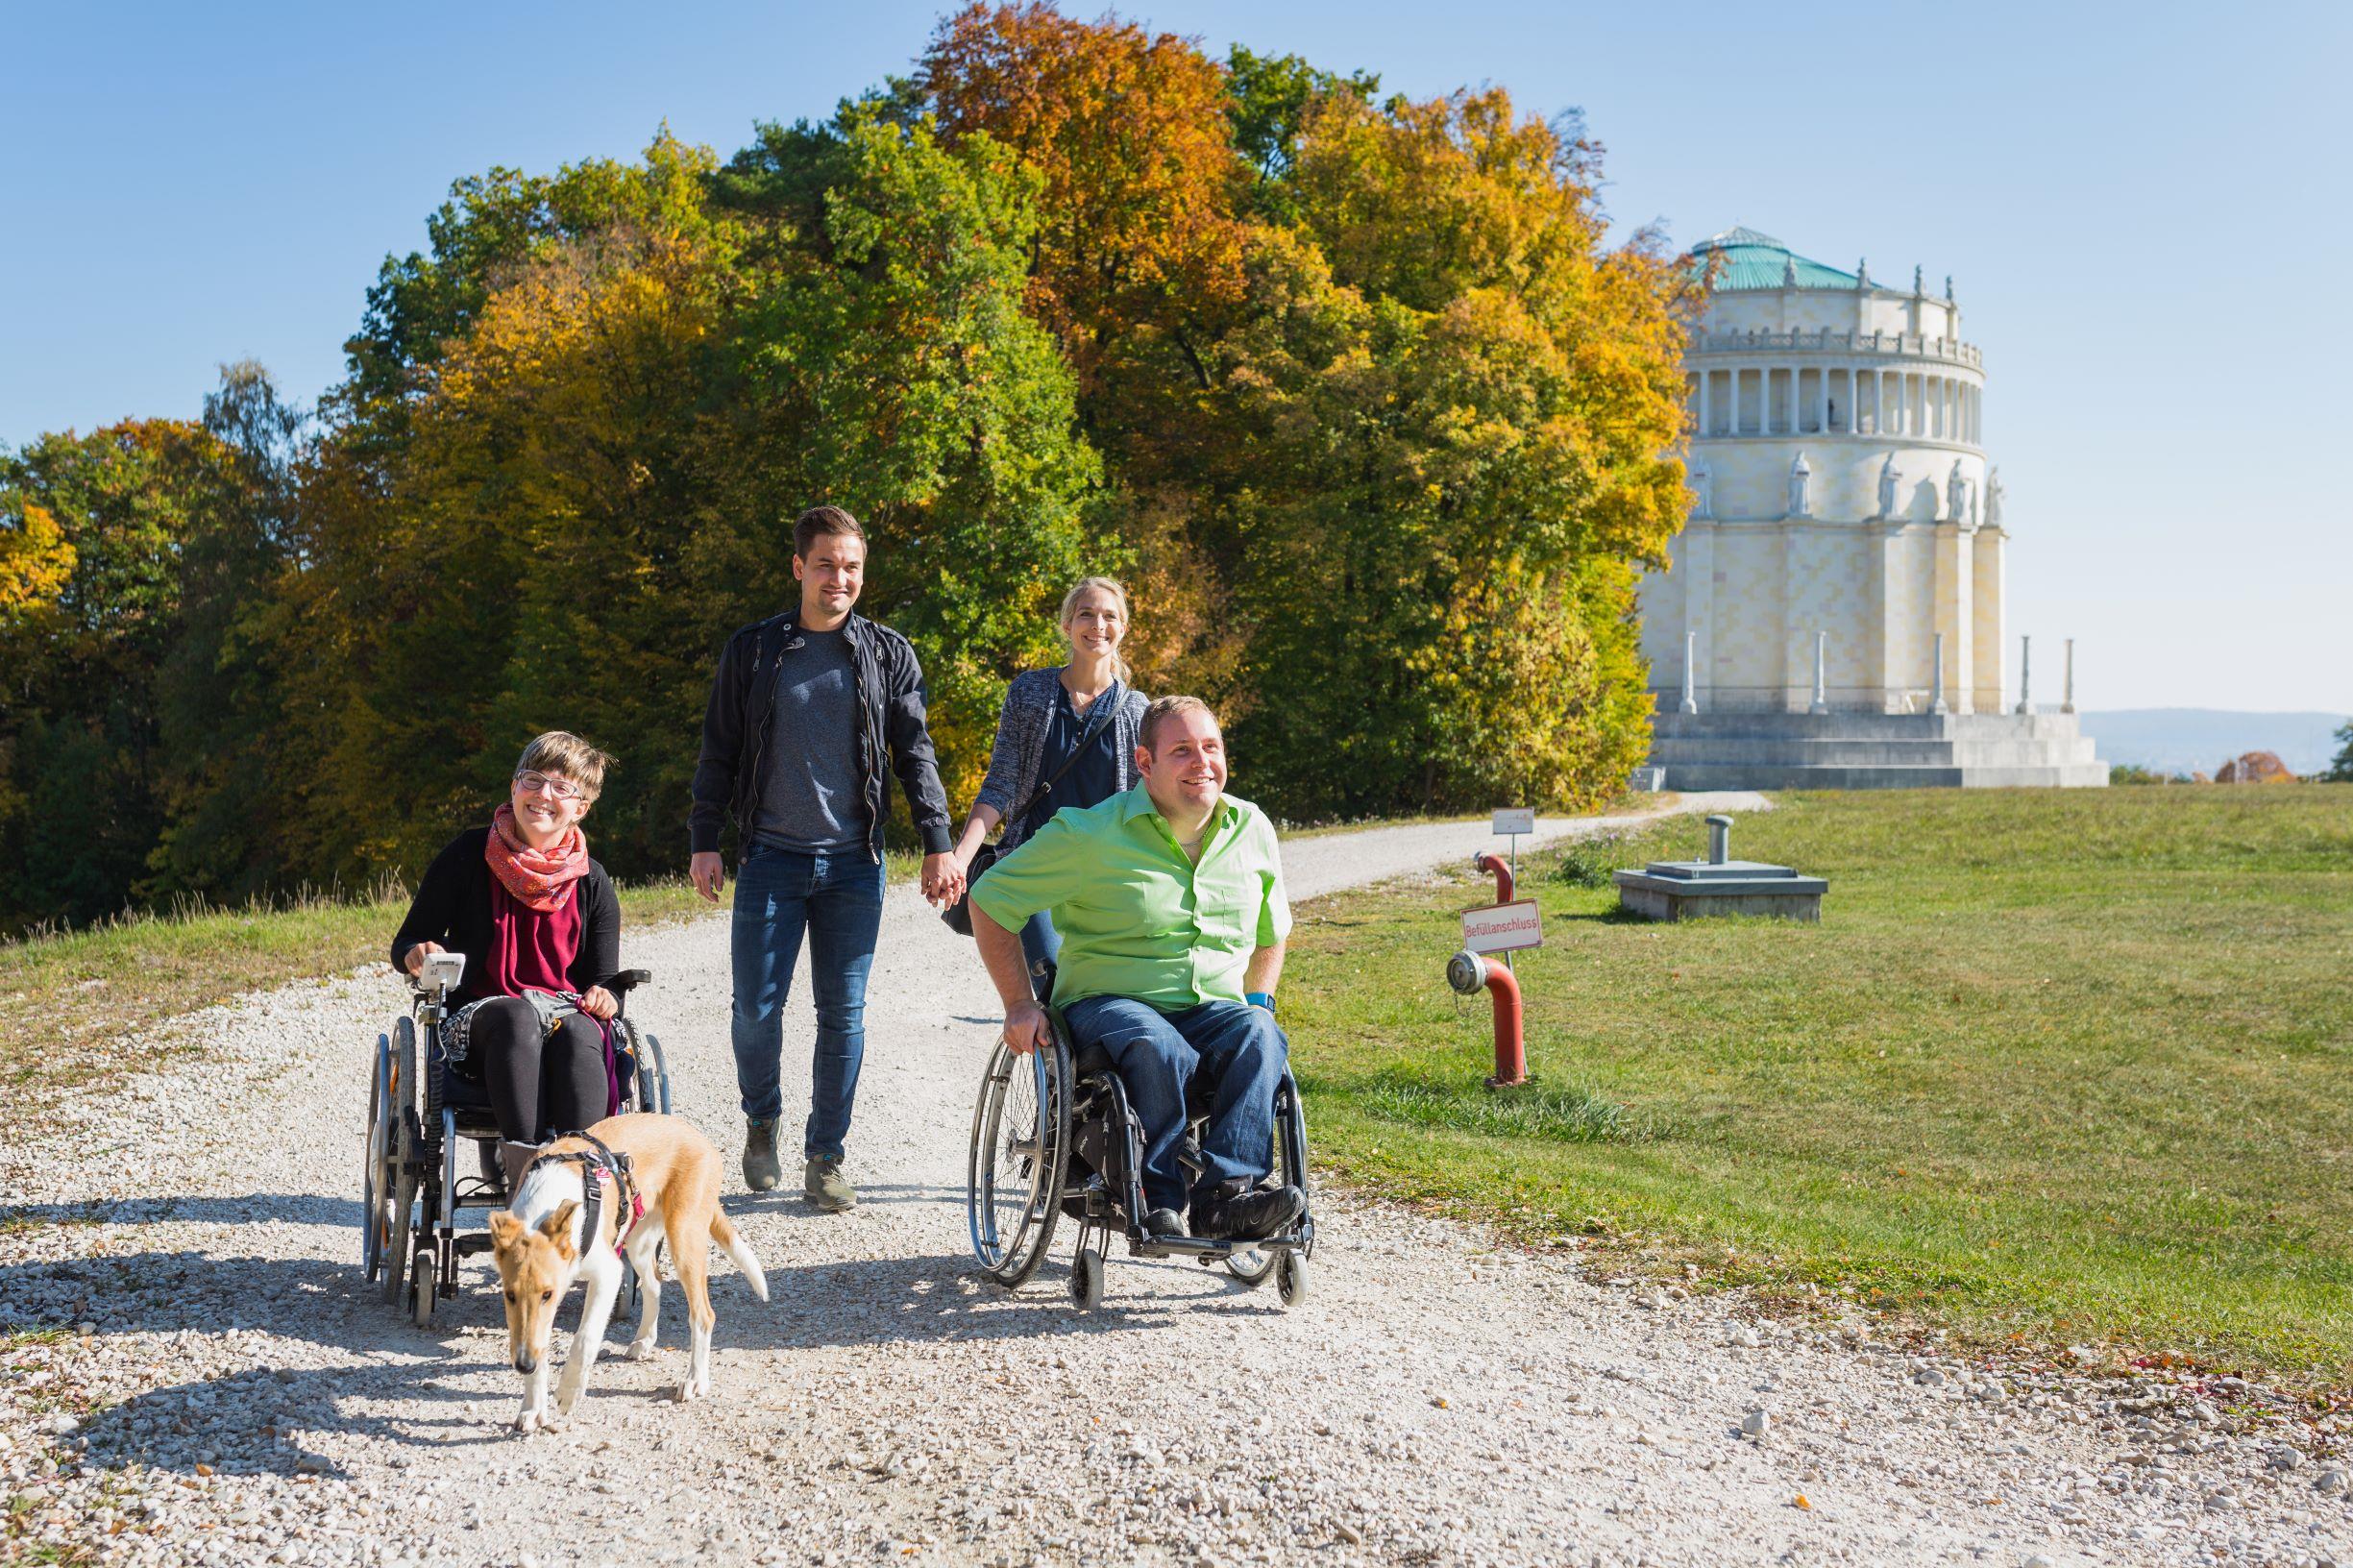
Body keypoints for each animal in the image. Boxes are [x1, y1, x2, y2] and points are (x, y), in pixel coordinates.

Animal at [486, 1106, 762, 1422]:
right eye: (509, 1295)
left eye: (547, 1294)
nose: (523, 1365)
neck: (544, 1205)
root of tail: (695, 1135)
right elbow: (538, 1343)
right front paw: (532, 1408)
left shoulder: (607, 1274)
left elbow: (585, 1337)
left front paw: (569, 1391)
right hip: (639, 1242)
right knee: (654, 1283)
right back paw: (645, 1340)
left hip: (684, 1239)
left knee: (703, 1314)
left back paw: (695, 1379)